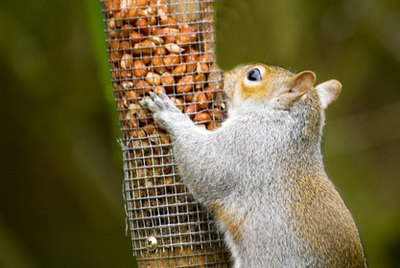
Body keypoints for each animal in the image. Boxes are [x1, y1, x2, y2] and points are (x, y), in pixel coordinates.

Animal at [141, 64, 366, 268]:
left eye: (254, 75)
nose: (222, 76)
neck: (281, 122)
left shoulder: (246, 146)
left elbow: (204, 165)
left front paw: (169, 113)